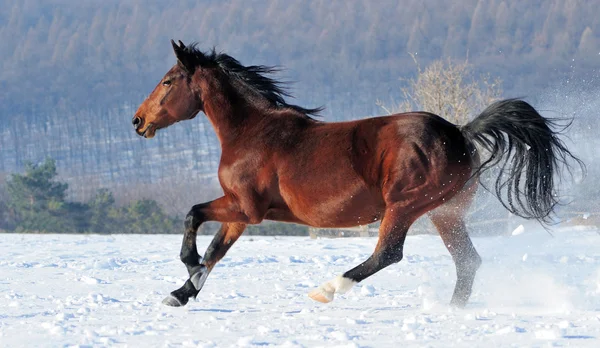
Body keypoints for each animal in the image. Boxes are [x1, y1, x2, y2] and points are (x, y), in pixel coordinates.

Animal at [134, 40, 584, 308]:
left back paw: (327, 289)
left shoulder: (245, 208)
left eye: (168, 80)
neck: (252, 133)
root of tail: (460, 132)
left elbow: (193, 217)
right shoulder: (241, 215)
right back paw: (453, 310)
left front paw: (188, 268)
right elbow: (215, 251)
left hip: (404, 205)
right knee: (469, 261)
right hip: (445, 213)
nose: (138, 121)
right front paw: (181, 292)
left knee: (388, 253)